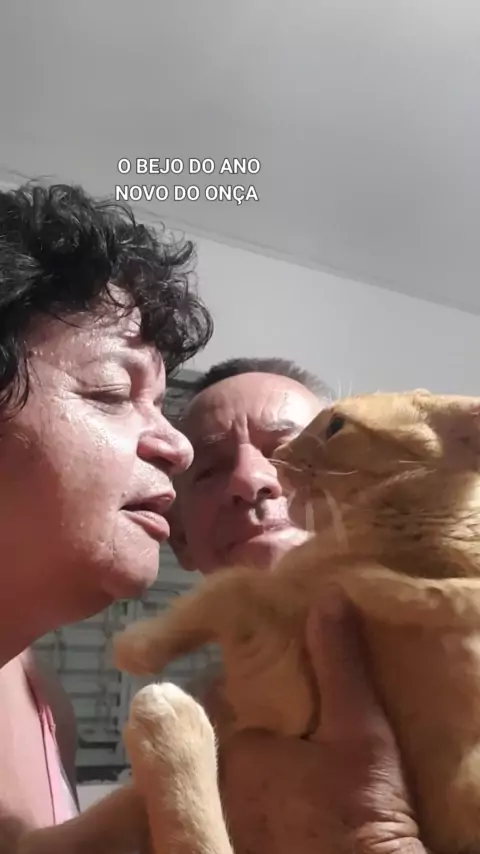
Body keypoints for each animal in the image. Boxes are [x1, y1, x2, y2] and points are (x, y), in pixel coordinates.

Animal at [114, 390, 480, 854]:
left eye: (336, 426)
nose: (281, 454)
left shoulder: (282, 659)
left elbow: (226, 588)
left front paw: (136, 646)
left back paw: (170, 723)